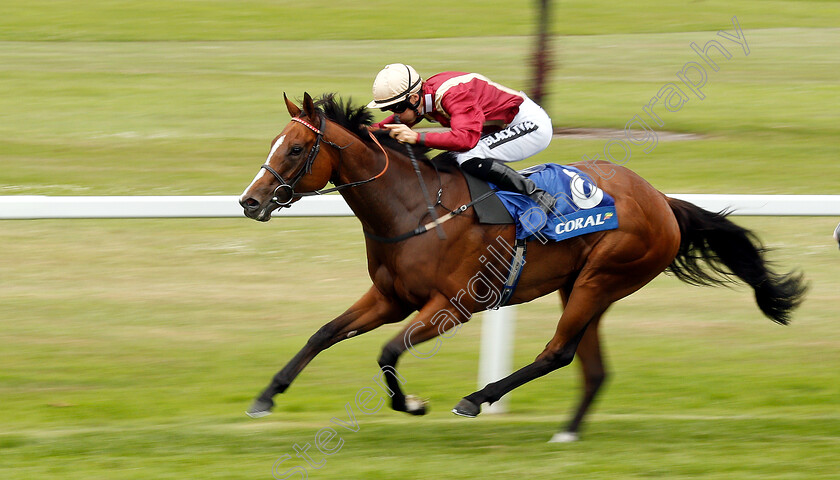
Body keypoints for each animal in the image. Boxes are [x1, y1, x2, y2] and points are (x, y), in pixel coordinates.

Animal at [238, 92, 808, 440]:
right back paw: (567, 431)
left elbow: (388, 351)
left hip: (603, 278)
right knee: (589, 365)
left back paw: (476, 399)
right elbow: (323, 333)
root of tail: (662, 201)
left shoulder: (453, 304)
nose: (249, 201)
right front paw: (266, 397)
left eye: (295, 149)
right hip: (582, 286)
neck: (414, 208)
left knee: (557, 352)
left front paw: (413, 404)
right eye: (274, 144)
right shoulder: (390, 297)